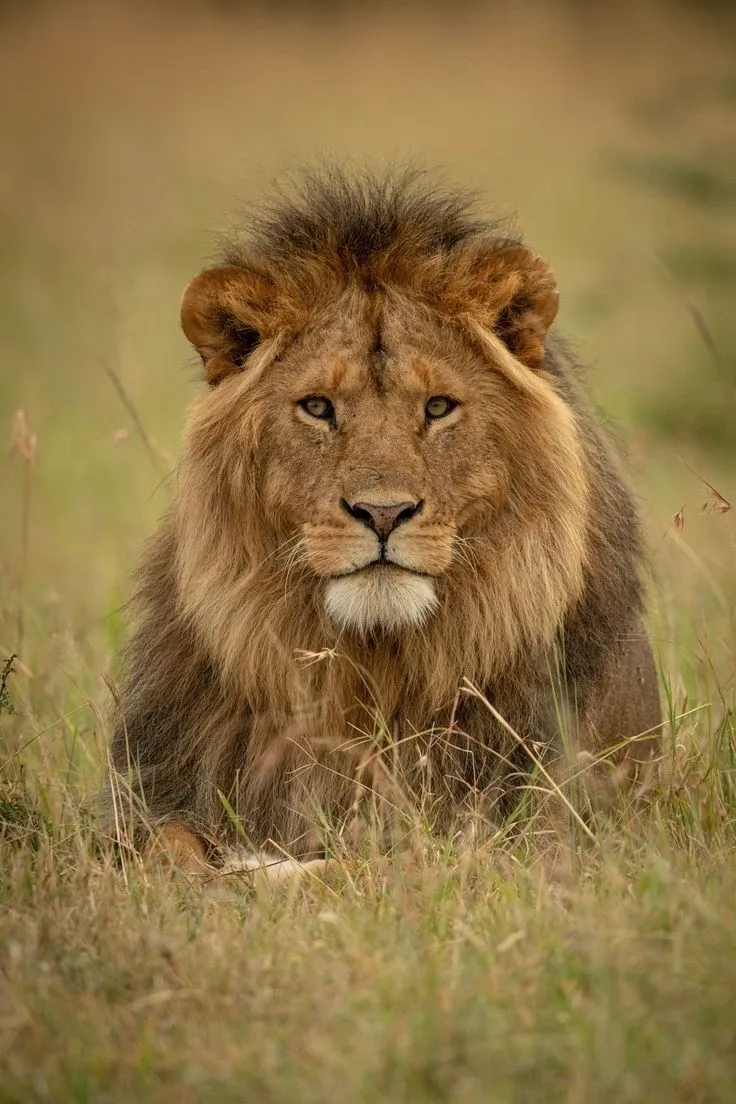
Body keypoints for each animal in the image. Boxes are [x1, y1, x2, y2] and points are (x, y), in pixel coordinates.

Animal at [108, 168, 660, 875]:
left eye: (439, 406)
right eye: (317, 407)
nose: (383, 512)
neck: (374, 674)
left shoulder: (536, 834)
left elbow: (369, 865)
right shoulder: (153, 792)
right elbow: (164, 849)